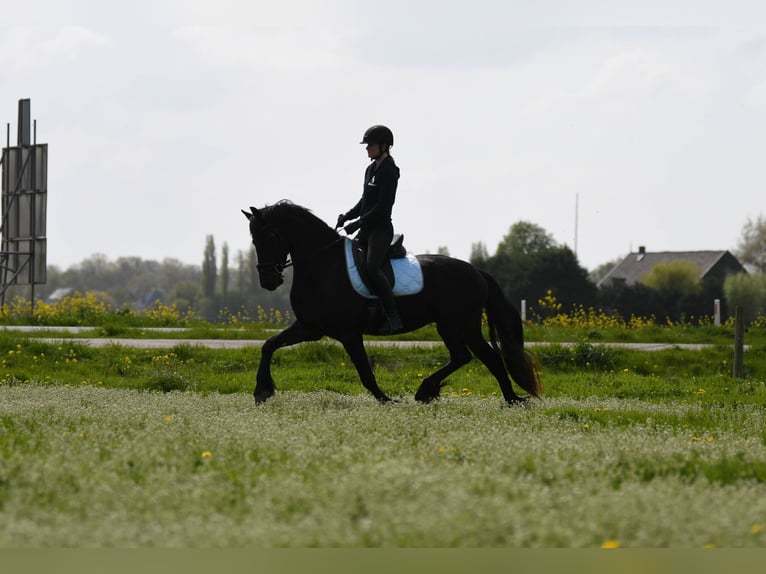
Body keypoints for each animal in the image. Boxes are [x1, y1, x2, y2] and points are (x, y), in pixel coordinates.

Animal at [241, 201, 541, 405]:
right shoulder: (309, 328)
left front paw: (386, 400)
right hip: (454, 326)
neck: (323, 266)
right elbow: (269, 345)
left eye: (270, 237)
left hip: (458, 324)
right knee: (470, 357)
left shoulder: (348, 333)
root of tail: (475, 271)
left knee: (482, 357)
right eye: (253, 239)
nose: (268, 281)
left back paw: (504, 398)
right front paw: (262, 391)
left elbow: (365, 372)